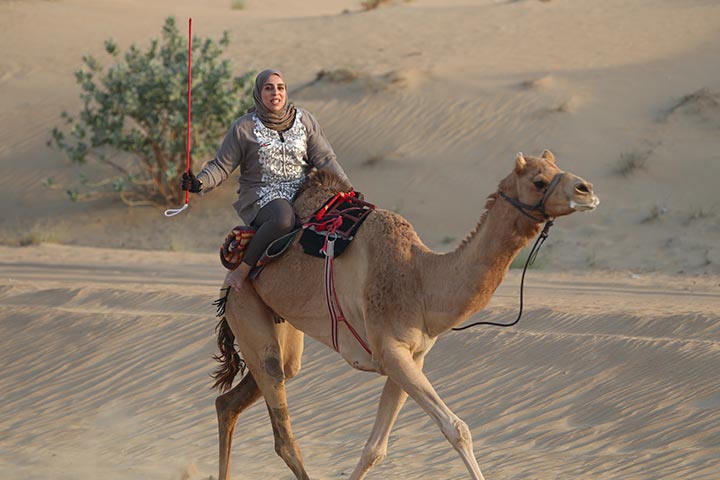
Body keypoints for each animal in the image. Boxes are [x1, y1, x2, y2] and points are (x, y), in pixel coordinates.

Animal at [211, 151, 600, 480]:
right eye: (538, 180)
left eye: (556, 166)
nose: (587, 190)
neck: (420, 278)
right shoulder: (392, 351)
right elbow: (457, 429)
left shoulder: (411, 356)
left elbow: (375, 449)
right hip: (244, 304)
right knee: (282, 431)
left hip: (283, 325)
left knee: (235, 398)